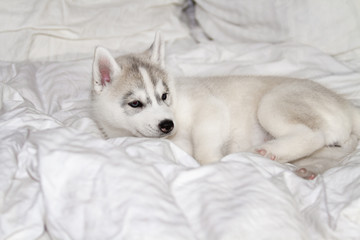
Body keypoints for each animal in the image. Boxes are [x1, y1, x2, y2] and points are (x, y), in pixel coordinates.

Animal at [92, 32, 360, 179]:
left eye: (164, 96)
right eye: (135, 103)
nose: (168, 125)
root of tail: (345, 103)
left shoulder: (210, 108)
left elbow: (204, 149)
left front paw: (213, 164)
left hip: (274, 103)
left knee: (312, 134)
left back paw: (267, 151)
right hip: (332, 143)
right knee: (334, 150)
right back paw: (308, 168)